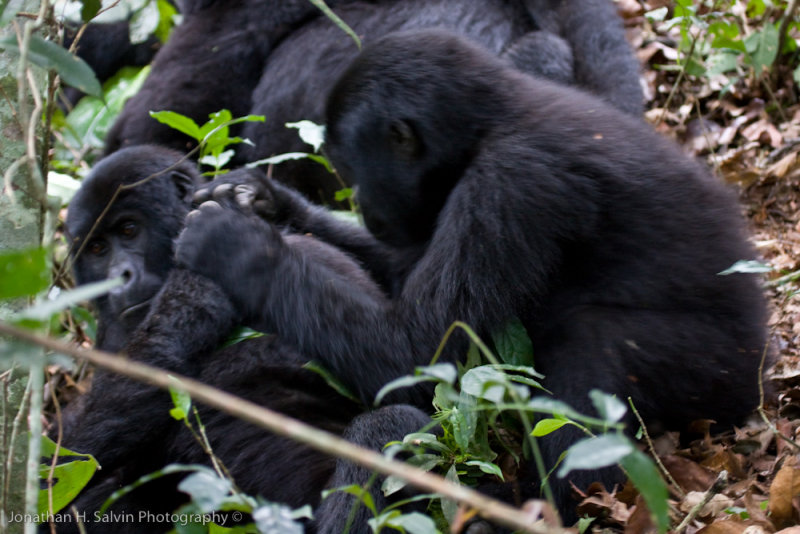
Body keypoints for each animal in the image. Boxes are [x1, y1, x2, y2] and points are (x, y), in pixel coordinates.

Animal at [188, 30, 768, 524]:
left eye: (351, 170)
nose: (361, 206)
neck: (491, 121)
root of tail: (767, 367)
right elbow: (399, 278)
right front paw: (268, 203)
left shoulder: (510, 181)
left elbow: (417, 351)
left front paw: (238, 249)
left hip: (721, 372)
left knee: (592, 338)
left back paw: (545, 507)